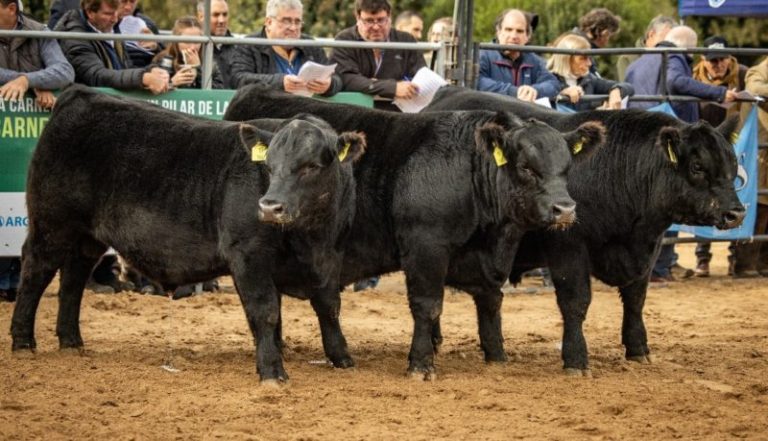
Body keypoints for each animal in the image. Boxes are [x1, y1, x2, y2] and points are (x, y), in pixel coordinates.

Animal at [10, 85, 366, 382]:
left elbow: (328, 305)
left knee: (73, 278)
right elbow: (265, 311)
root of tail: (80, 94)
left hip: (87, 235)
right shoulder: (248, 254)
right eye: (269, 166)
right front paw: (272, 371)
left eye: (311, 166)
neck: (311, 237)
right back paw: (23, 341)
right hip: (51, 222)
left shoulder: (330, 257)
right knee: (36, 271)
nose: (269, 207)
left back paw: (71, 341)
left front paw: (342, 358)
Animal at [224, 86, 608, 378]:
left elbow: (491, 301)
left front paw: (496, 356)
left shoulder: (486, 258)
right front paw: (421, 364)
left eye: (566, 168)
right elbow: (427, 305)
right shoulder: (426, 246)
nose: (564, 209)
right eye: (527, 167)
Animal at [424, 86, 748, 374]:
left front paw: (638, 350)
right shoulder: (568, 247)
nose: (736, 213)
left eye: (732, 164)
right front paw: (576, 360)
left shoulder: (648, 248)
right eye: (697, 166)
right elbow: (576, 302)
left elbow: (636, 299)